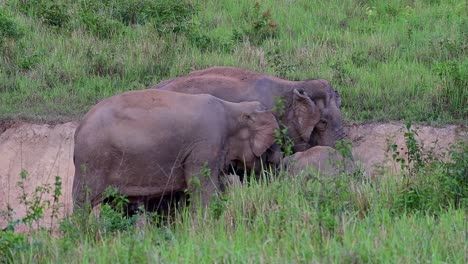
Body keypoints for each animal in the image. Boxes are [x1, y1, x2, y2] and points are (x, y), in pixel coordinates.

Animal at [72, 88, 278, 210]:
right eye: (271, 146)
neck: (233, 108)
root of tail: (79, 127)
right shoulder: (206, 144)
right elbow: (204, 190)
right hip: (93, 160)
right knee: (83, 200)